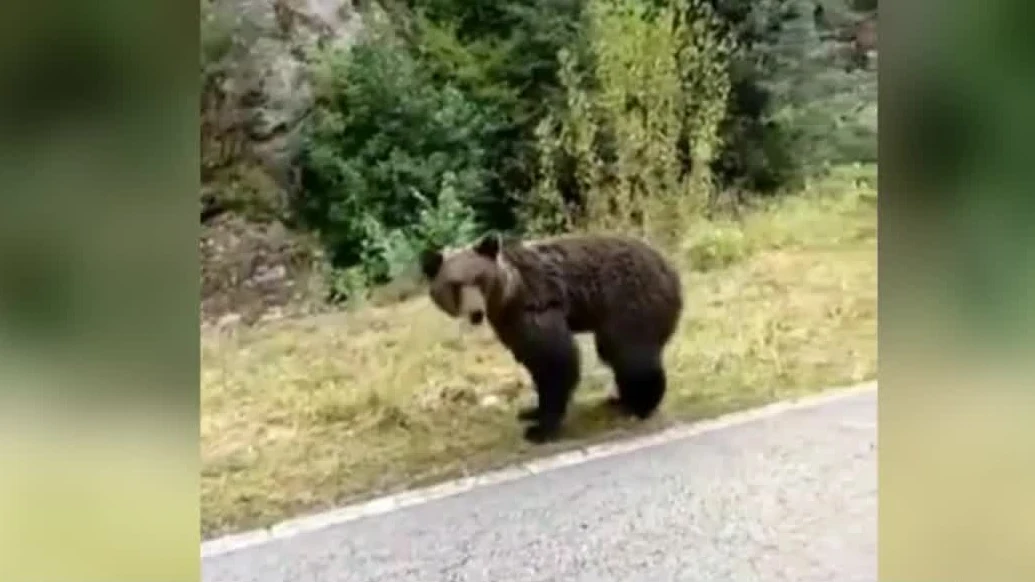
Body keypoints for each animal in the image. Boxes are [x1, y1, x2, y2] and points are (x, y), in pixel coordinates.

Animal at [416, 228, 683, 441]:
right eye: (455, 285)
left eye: (479, 278)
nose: (476, 313)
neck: (507, 296)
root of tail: (670, 269)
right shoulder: (510, 322)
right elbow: (533, 361)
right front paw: (531, 410)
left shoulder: (536, 305)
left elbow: (554, 360)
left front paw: (541, 429)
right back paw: (622, 399)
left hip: (628, 301)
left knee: (630, 353)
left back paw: (640, 404)